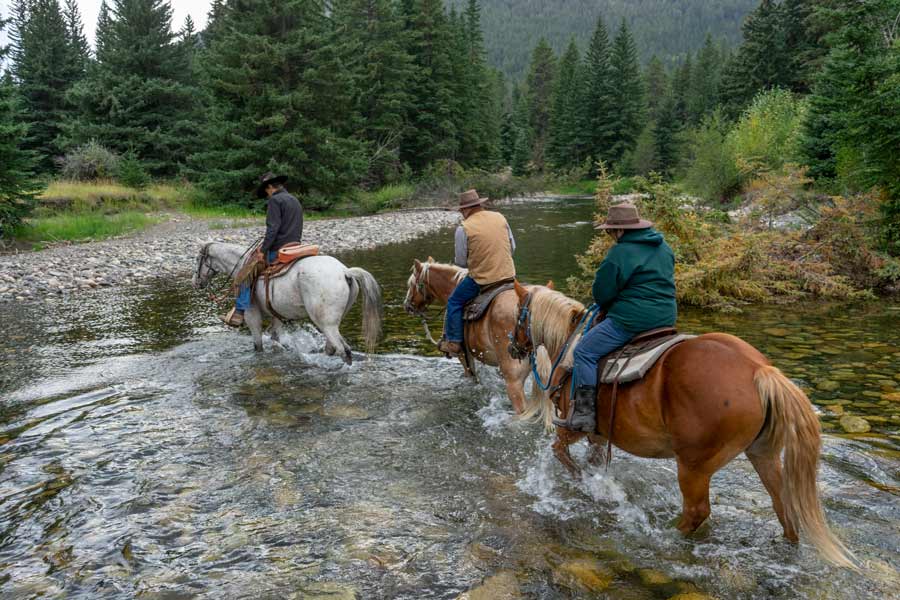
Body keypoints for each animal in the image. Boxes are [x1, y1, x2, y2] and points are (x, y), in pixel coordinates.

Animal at [193, 240, 384, 364]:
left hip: (327, 325)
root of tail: (345, 272)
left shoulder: (252, 315)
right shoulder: (276, 316)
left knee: (343, 351)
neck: (241, 267)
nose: (195, 282)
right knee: (333, 349)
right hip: (334, 323)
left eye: (197, 259)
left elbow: (258, 346)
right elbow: (276, 340)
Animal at [510, 282, 856, 568]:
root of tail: (759, 370)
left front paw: (586, 485)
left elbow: (561, 454)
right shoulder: (597, 436)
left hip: (693, 465)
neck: (570, 345)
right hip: (763, 453)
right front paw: (596, 482)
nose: (513, 347)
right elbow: (593, 463)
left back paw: (666, 537)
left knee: (697, 511)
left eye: (517, 315)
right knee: (783, 504)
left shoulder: (571, 428)